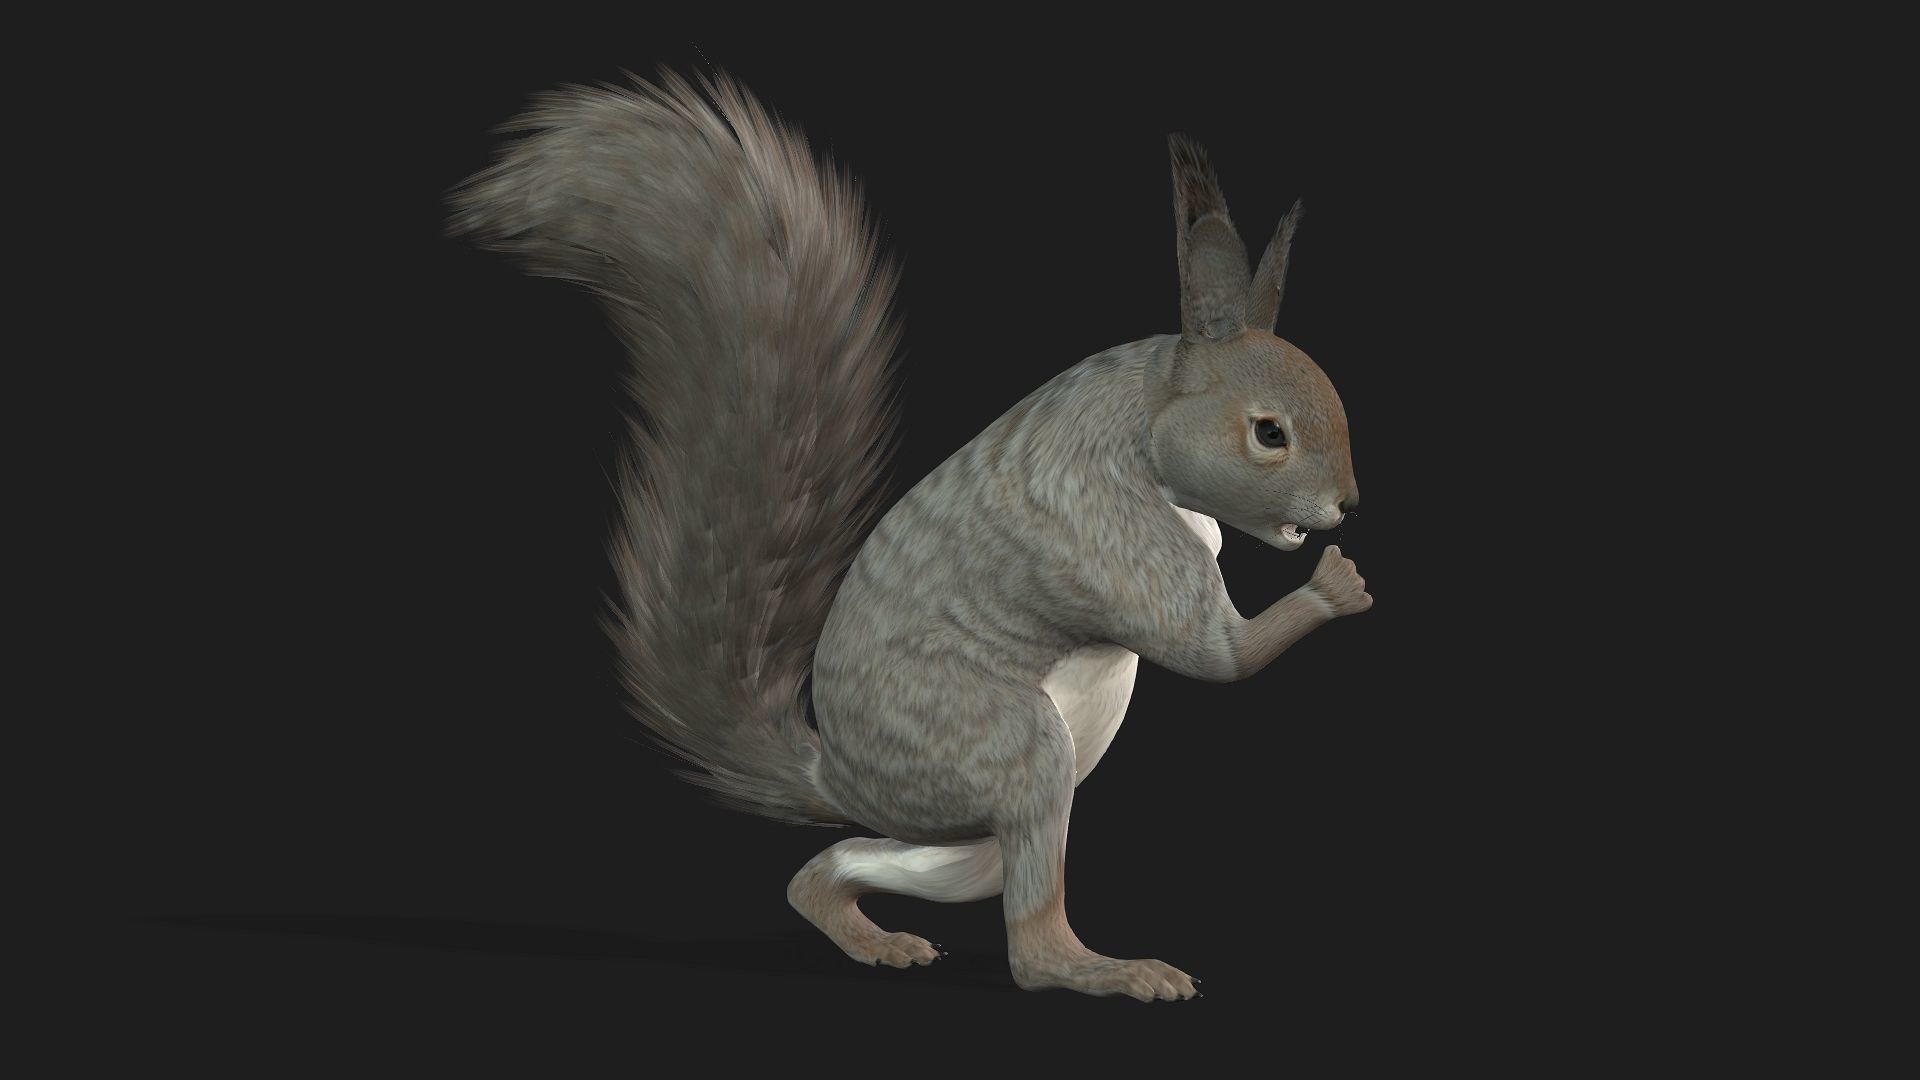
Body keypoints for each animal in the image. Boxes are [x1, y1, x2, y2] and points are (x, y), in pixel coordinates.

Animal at [449, 70, 1370, 1002]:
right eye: (1268, 433)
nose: (1347, 504)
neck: (1146, 419)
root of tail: (840, 772)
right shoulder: (1111, 527)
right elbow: (1220, 656)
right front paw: (1334, 587)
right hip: (997, 742)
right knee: (1028, 948)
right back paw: (1106, 970)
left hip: (978, 827)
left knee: (841, 870)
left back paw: (871, 935)